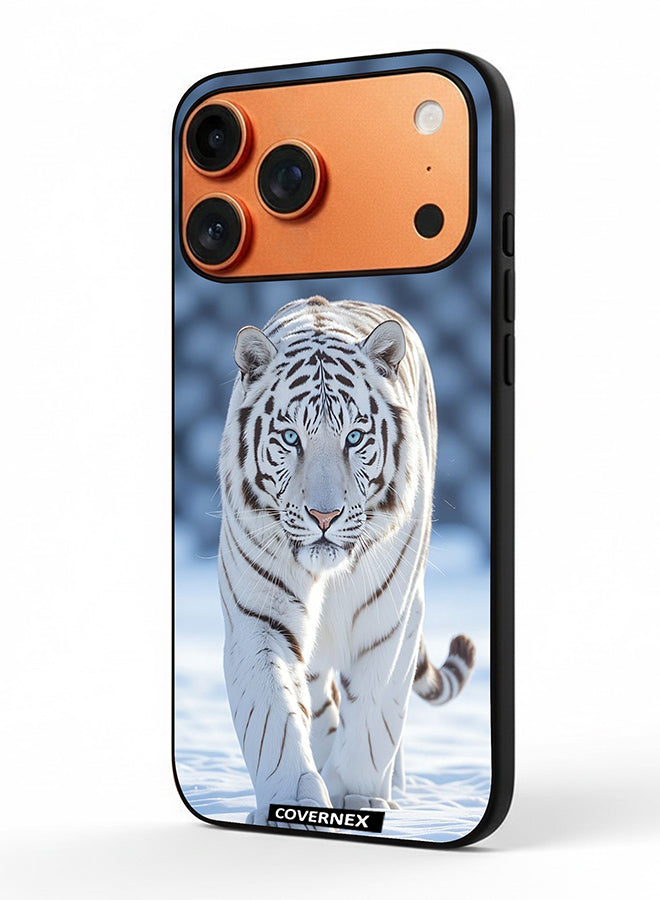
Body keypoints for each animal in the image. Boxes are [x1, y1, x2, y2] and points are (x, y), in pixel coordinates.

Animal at [218, 296, 475, 827]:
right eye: (290, 438)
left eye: (355, 438)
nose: (324, 515)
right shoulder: (259, 619)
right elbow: (275, 722)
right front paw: (295, 801)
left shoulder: (389, 619)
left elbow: (375, 715)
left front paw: (360, 798)